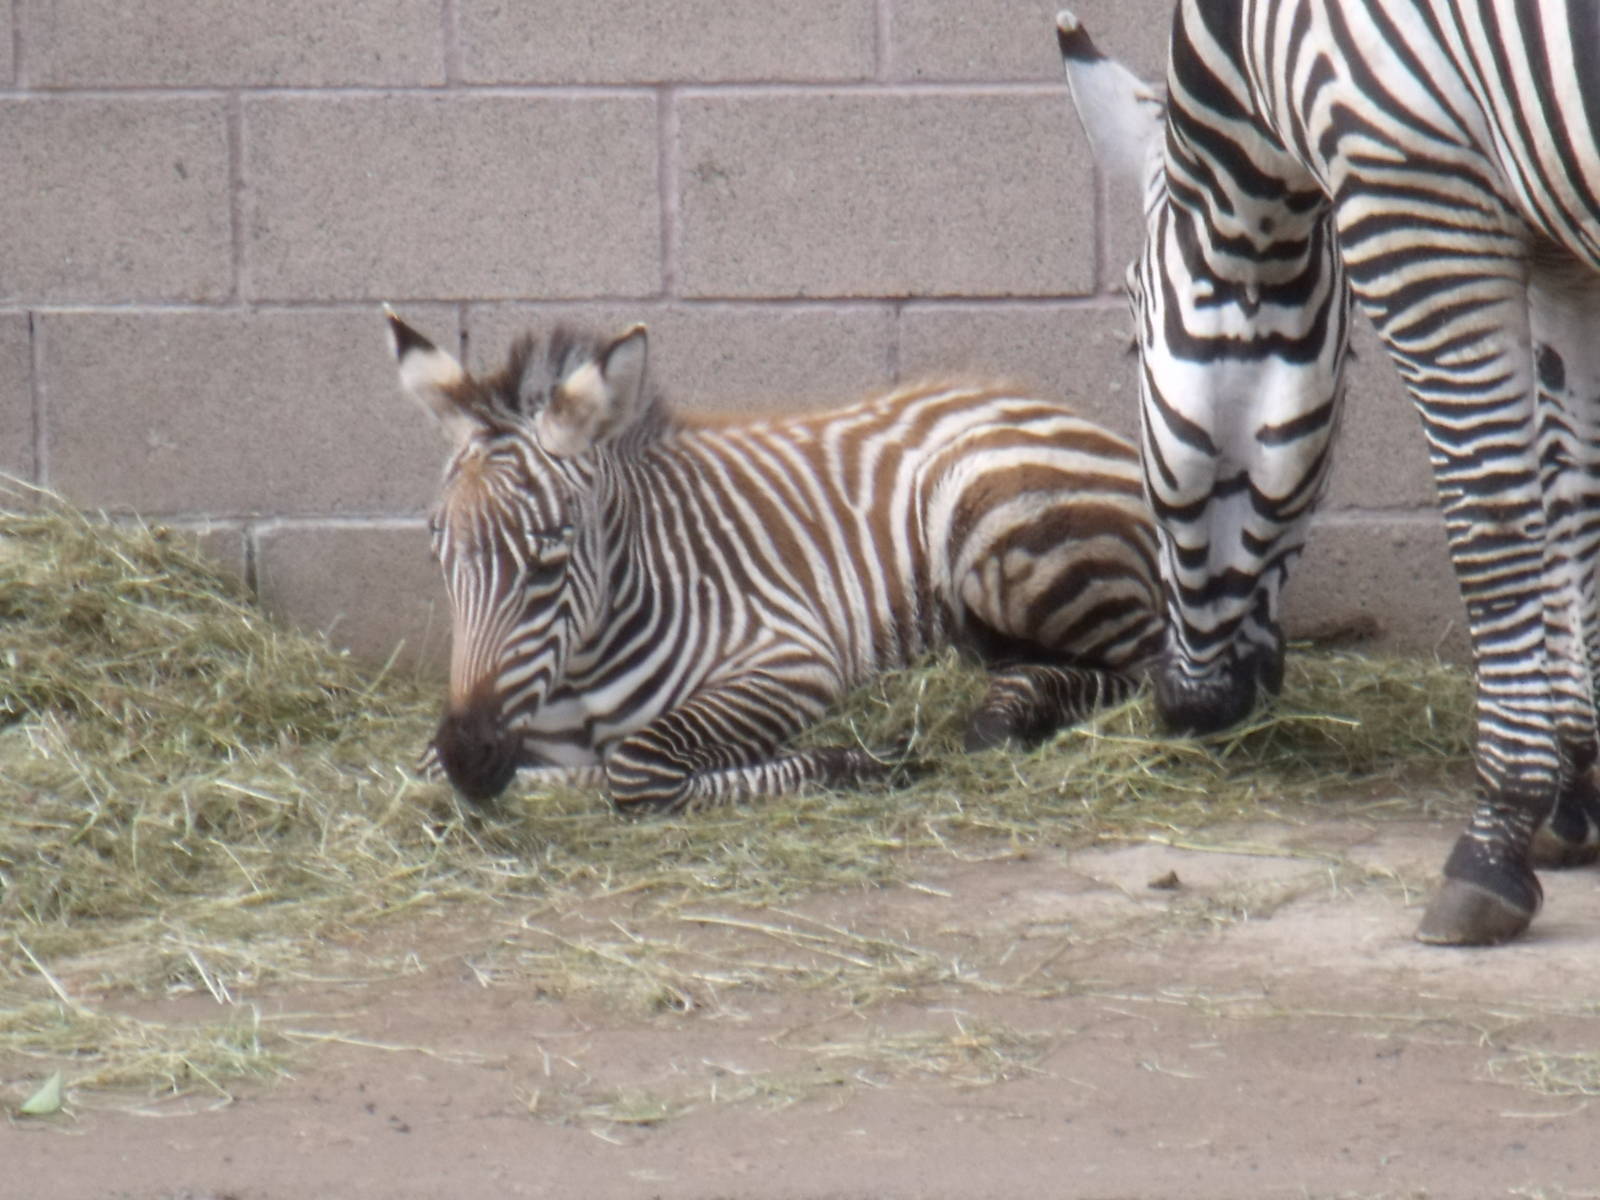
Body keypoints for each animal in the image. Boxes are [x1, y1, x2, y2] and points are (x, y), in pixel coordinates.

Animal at [385, 308, 1165, 814]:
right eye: (437, 547)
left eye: (551, 554)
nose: (471, 755)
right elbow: (424, 772)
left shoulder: (789, 662)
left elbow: (634, 767)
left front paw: (860, 760)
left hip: (1006, 529)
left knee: (1152, 673)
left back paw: (1010, 716)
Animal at [1056, 1, 1600, 945]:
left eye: (1129, 346)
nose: (1191, 712)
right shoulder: (1557, 246)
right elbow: (1574, 498)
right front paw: (1575, 794)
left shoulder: (1408, 188)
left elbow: (1492, 519)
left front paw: (1498, 834)